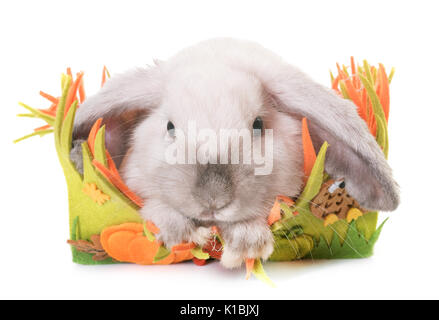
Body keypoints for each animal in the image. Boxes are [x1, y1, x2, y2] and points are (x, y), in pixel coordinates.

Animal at [70, 37, 400, 268]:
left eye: (258, 124)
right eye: (170, 126)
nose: (213, 199)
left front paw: (245, 246)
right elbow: (158, 211)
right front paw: (190, 236)